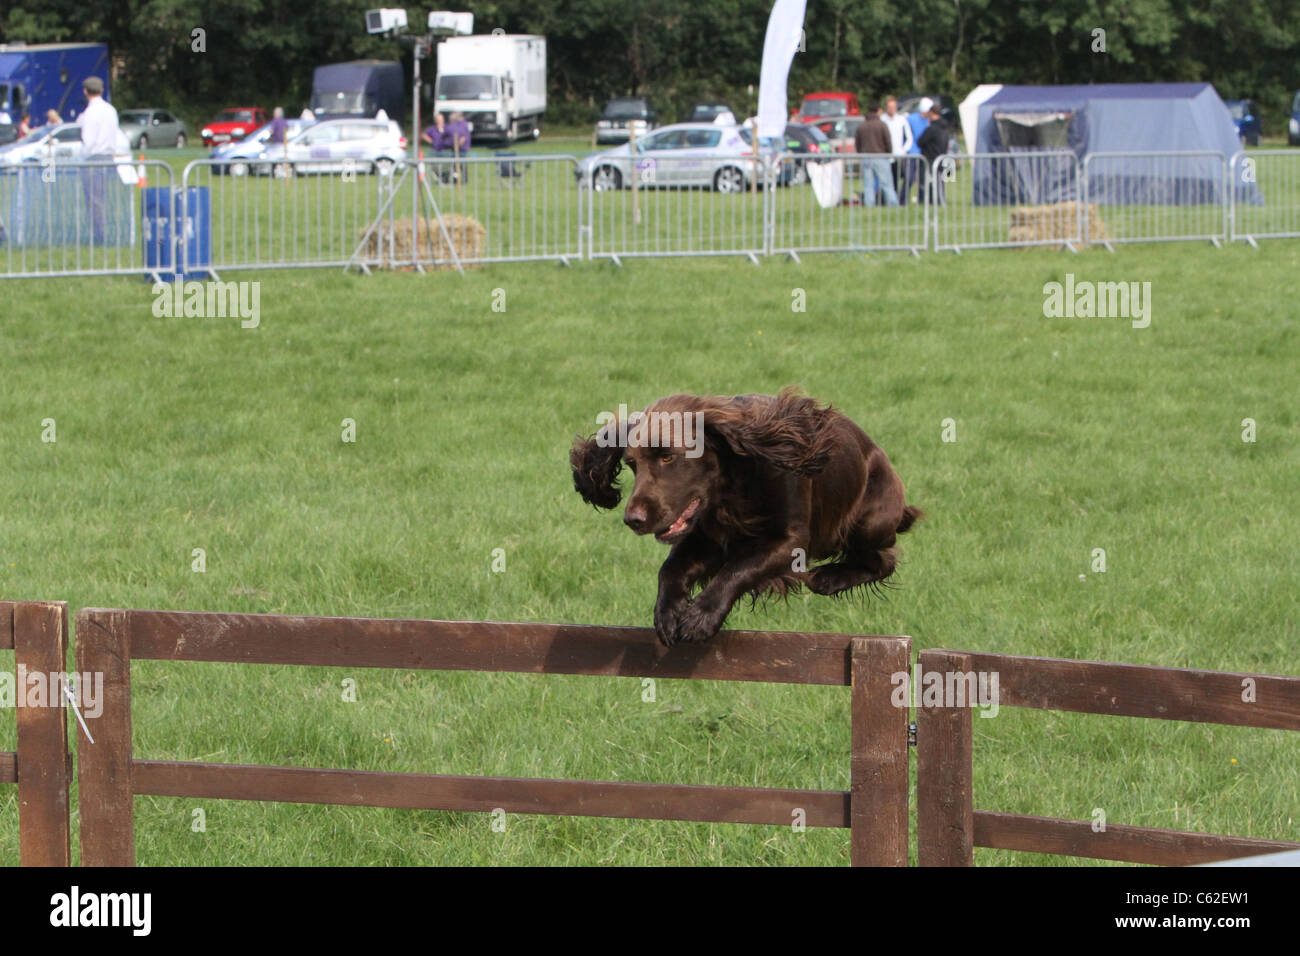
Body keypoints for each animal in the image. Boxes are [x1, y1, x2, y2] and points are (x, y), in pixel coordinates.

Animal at [572, 390, 925, 650]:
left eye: (668, 456)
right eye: (632, 464)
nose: (633, 519)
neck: (732, 486)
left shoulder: (790, 542)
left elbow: (737, 569)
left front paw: (701, 617)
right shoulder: (705, 540)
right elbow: (670, 569)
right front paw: (667, 613)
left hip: (871, 519)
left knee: (884, 558)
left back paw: (829, 578)